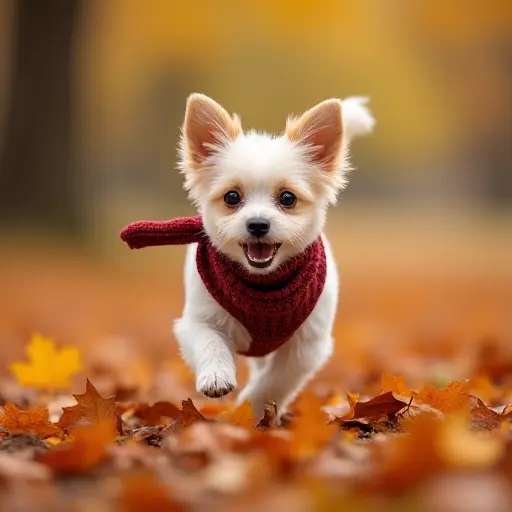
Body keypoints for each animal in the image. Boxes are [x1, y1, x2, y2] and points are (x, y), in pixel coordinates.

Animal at [170, 93, 374, 420]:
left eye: (287, 198)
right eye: (231, 197)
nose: (257, 224)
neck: (263, 286)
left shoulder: (307, 347)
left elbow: (275, 382)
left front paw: (252, 409)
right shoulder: (197, 322)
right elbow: (210, 342)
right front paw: (216, 376)